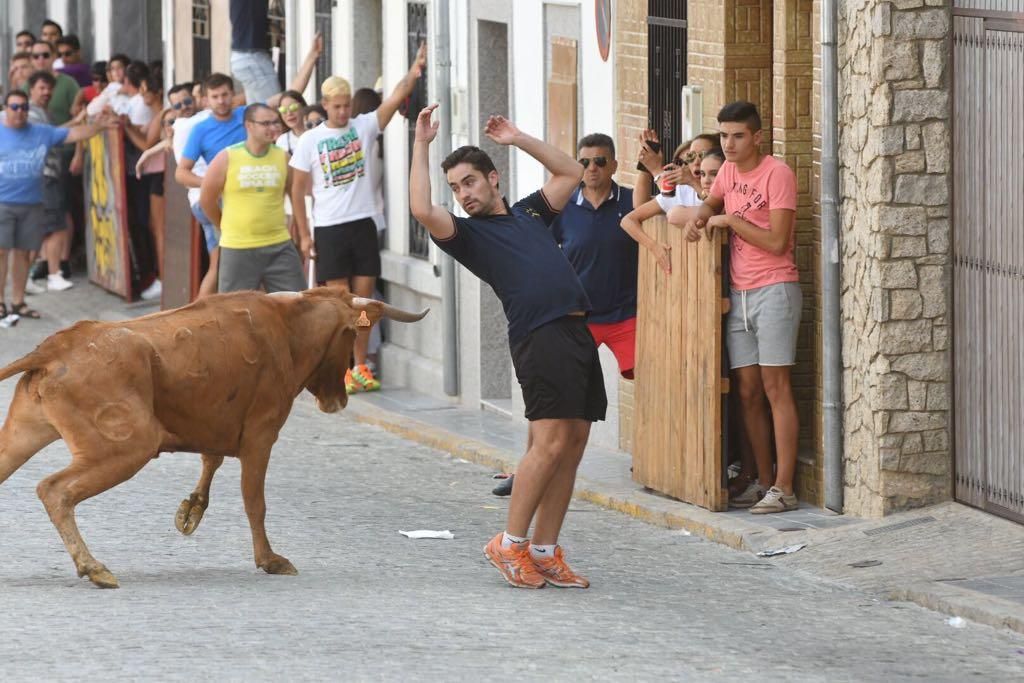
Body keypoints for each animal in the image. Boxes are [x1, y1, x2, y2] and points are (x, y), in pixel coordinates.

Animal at [0, 286, 428, 589]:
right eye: (349, 336)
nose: (338, 399)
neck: (287, 328)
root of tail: (58, 345)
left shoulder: (215, 425)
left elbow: (212, 460)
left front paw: (191, 509)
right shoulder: (261, 434)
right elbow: (255, 502)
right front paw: (269, 560)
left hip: (24, 434)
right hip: (128, 446)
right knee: (54, 490)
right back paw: (93, 567)